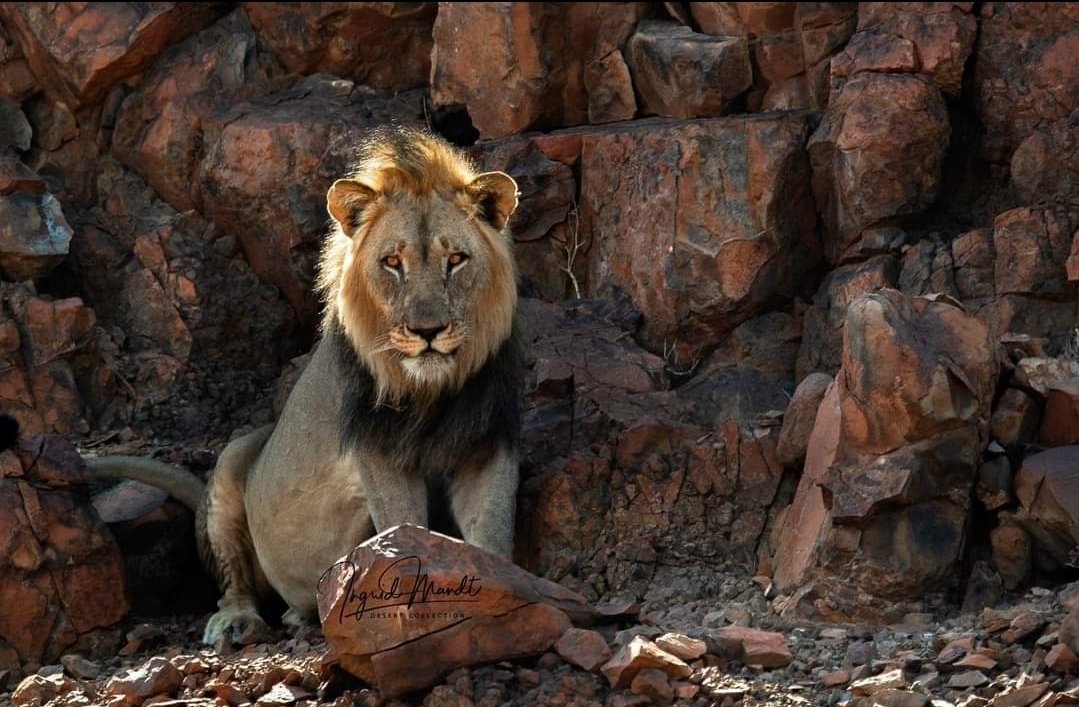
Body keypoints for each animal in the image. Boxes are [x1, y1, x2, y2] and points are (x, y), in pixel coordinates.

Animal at [88, 127, 523, 643]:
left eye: (455, 259)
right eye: (392, 262)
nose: (428, 331)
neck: (432, 393)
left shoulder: (489, 442)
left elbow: (493, 529)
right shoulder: (377, 452)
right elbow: (407, 529)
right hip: (231, 465)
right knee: (235, 582)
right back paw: (240, 621)